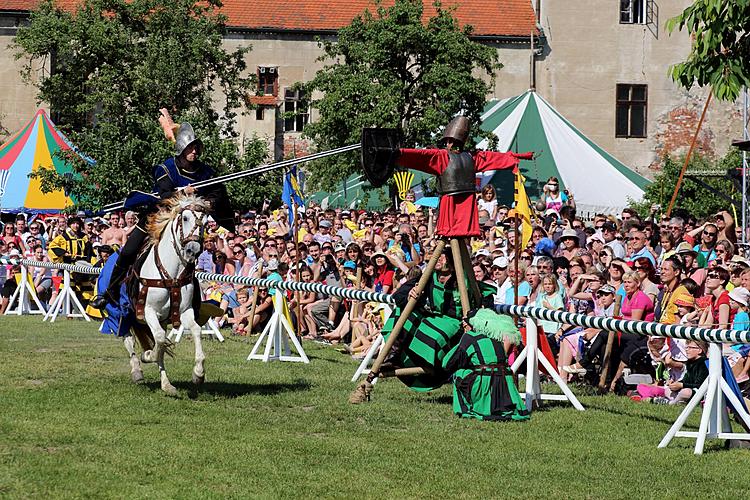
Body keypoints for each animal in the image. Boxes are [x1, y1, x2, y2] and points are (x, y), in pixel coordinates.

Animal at [133, 193, 212, 396]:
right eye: (185, 218)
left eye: (206, 223)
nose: (193, 250)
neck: (171, 275)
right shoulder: (147, 311)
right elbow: (160, 340)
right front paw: (148, 355)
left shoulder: (184, 312)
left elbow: (196, 330)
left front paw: (198, 374)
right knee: (129, 341)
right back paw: (137, 370)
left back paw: (167, 385)